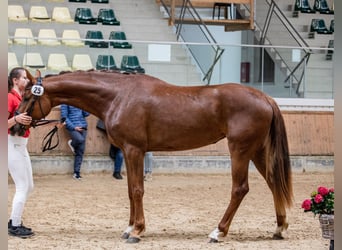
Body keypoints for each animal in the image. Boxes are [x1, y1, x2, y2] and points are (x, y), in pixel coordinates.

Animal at [15, 69, 294, 243]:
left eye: (28, 96)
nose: (17, 124)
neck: (118, 96)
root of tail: (264, 96)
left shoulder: (134, 150)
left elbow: (138, 190)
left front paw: (137, 231)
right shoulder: (128, 152)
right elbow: (130, 190)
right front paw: (129, 227)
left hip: (240, 150)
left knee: (240, 188)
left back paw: (218, 232)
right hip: (257, 151)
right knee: (273, 183)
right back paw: (279, 228)